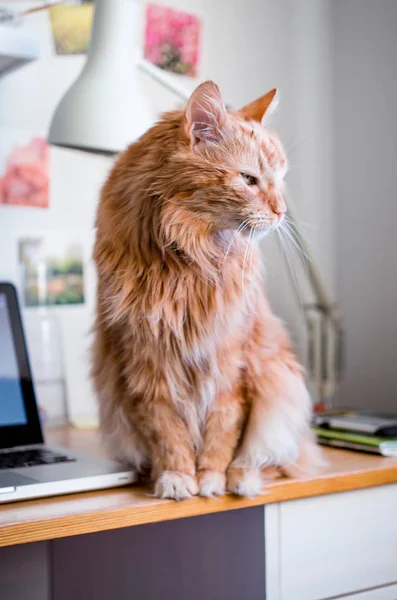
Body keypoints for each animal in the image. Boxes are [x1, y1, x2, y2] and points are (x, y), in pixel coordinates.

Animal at [92, 81, 322, 502]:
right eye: (249, 179)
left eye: (280, 180)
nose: (282, 212)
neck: (185, 262)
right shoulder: (147, 364)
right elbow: (168, 433)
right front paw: (178, 477)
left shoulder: (230, 362)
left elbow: (223, 429)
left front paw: (212, 478)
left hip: (281, 381)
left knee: (274, 459)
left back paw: (244, 478)